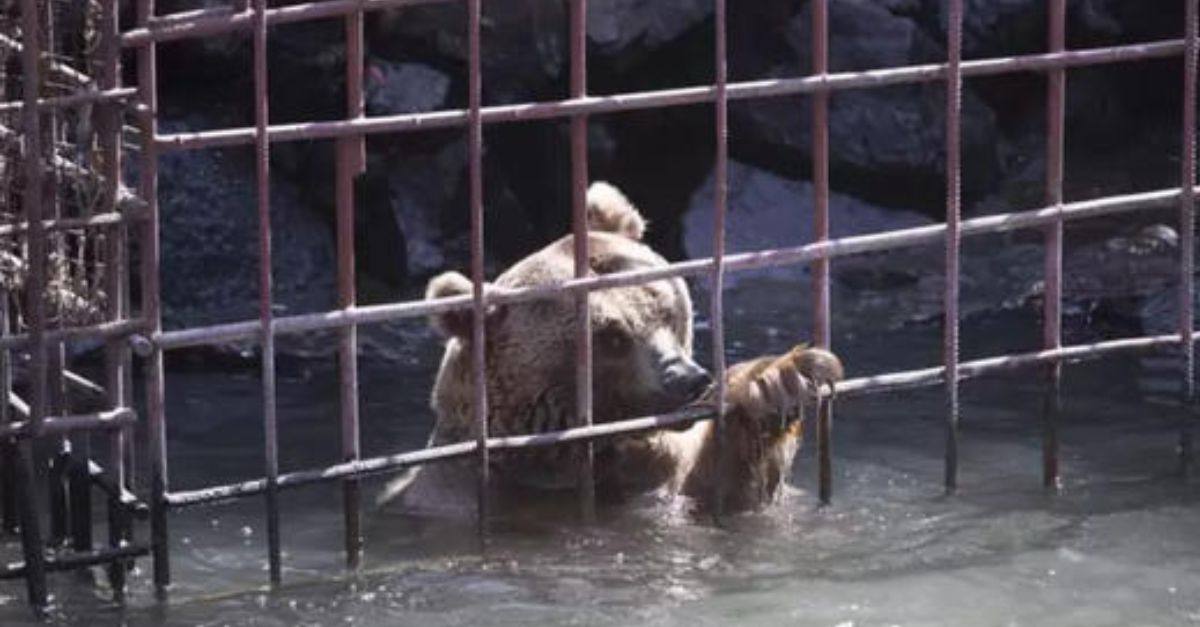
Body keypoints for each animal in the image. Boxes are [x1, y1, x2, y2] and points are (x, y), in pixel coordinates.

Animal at [384, 180, 844, 511]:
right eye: (612, 337)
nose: (688, 379)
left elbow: (726, 492)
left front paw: (775, 383)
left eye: (668, 310)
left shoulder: (658, 470)